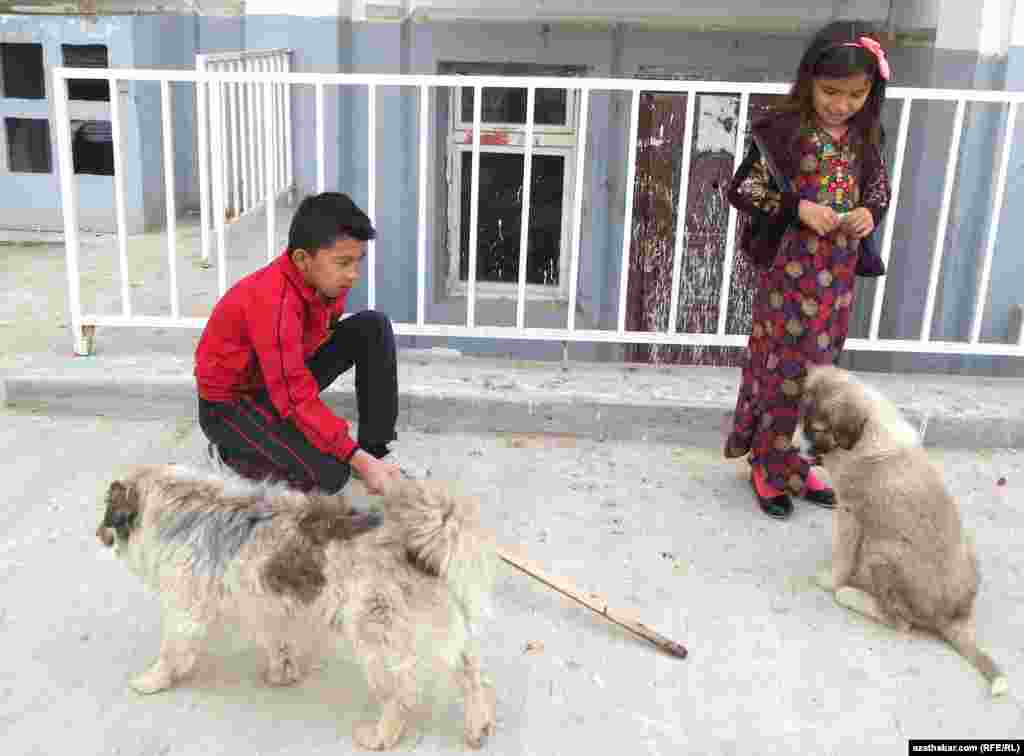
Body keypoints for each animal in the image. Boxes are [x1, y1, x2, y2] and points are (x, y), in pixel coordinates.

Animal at [97, 465, 497, 749]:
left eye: (107, 511)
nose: (97, 534)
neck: (182, 508)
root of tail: (421, 547)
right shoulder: (264, 604)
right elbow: (276, 643)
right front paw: (281, 673)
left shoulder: (184, 607)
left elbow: (170, 652)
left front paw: (152, 681)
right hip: (433, 631)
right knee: (470, 671)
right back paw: (478, 725)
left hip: (379, 641)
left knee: (402, 694)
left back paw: (380, 736)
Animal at [798, 364, 1007, 696]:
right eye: (801, 418)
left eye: (818, 429)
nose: (795, 448)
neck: (867, 432)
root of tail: (954, 617)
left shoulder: (850, 512)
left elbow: (843, 554)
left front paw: (831, 580)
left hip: (882, 554)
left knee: (900, 622)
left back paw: (850, 594)